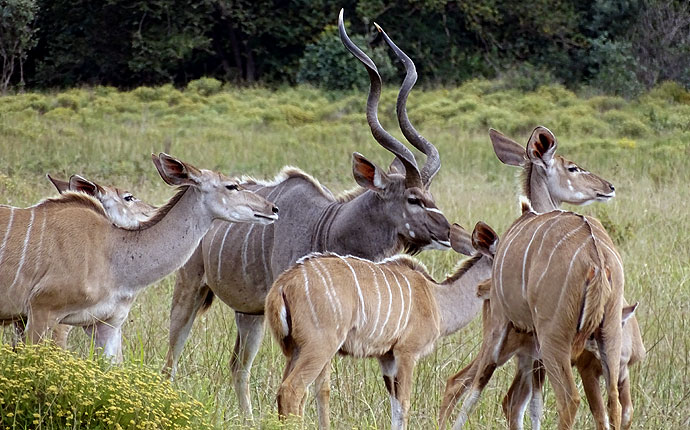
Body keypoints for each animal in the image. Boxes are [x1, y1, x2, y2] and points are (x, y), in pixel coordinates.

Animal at [266, 222, 498, 430]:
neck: (436, 298)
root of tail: (283, 284)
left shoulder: (386, 357)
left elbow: (395, 407)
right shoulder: (407, 352)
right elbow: (404, 404)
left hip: (295, 350)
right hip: (320, 347)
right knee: (292, 389)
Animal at [438, 127, 644, 430]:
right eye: (572, 167)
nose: (609, 187)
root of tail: (595, 259)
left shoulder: (508, 328)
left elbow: (492, 393)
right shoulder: (527, 345)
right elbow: (528, 402)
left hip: (552, 339)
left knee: (566, 399)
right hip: (602, 337)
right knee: (612, 404)